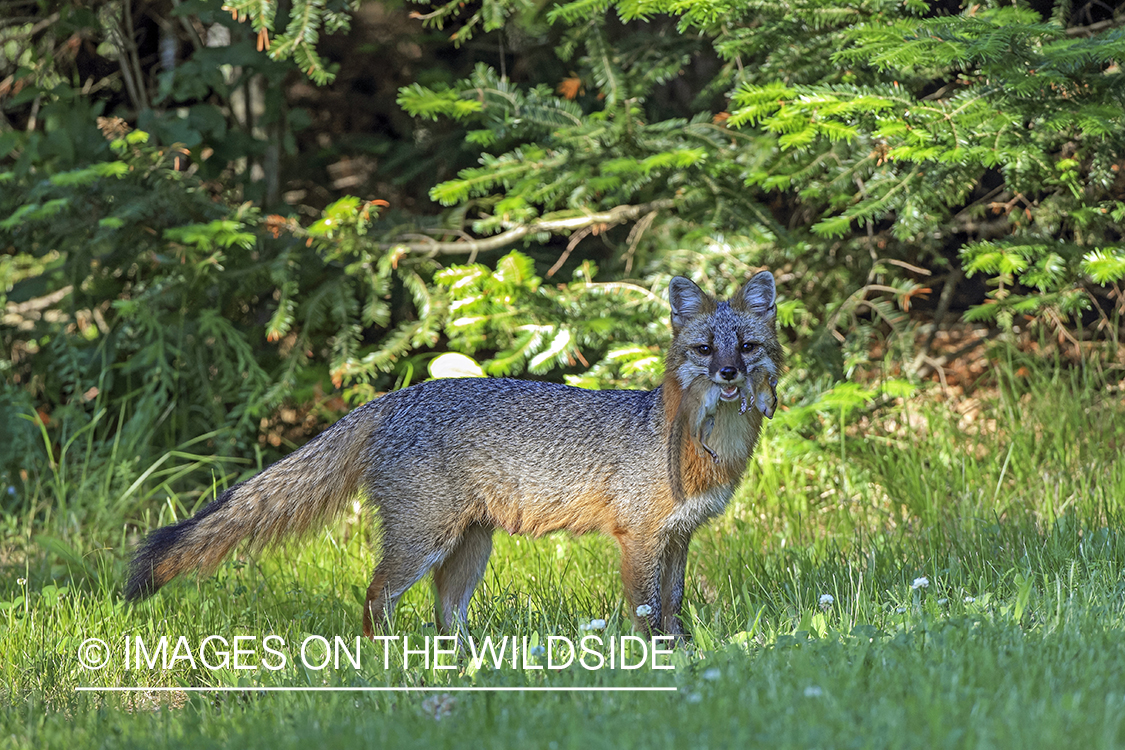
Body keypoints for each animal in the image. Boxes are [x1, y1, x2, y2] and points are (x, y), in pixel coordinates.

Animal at [125, 273, 783, 638]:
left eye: (747, 347)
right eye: (705, 349)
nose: (729, 374)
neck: (705, 447)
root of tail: (392, 397)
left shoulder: (678, 537)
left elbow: (671, 605)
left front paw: (685, 654)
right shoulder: (639, 538)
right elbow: (647, 611)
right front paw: (657, 661)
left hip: (468, 550)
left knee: (445, 620)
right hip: (423, 542)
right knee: (375, 600)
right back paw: (386, 664)